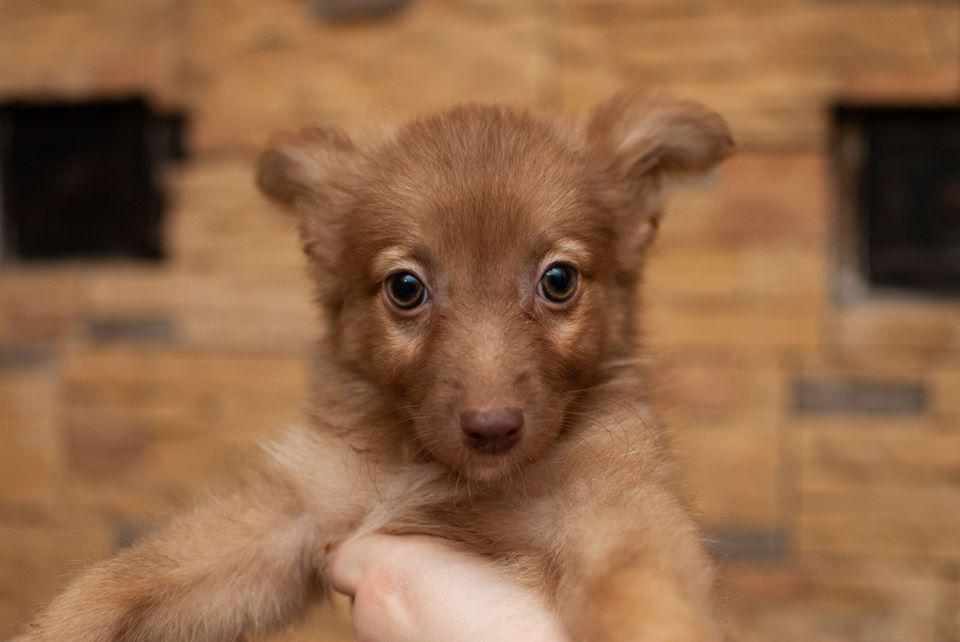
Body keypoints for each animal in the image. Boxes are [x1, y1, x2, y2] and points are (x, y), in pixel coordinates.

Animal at [18, 90, 732, 640]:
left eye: (558, 280)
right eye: (406, 287)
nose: (492, 429)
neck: (431, 473)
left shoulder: (615, 510)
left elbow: (638, 591)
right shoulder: (291, 516)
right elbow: (129, 579)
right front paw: (56, 625)